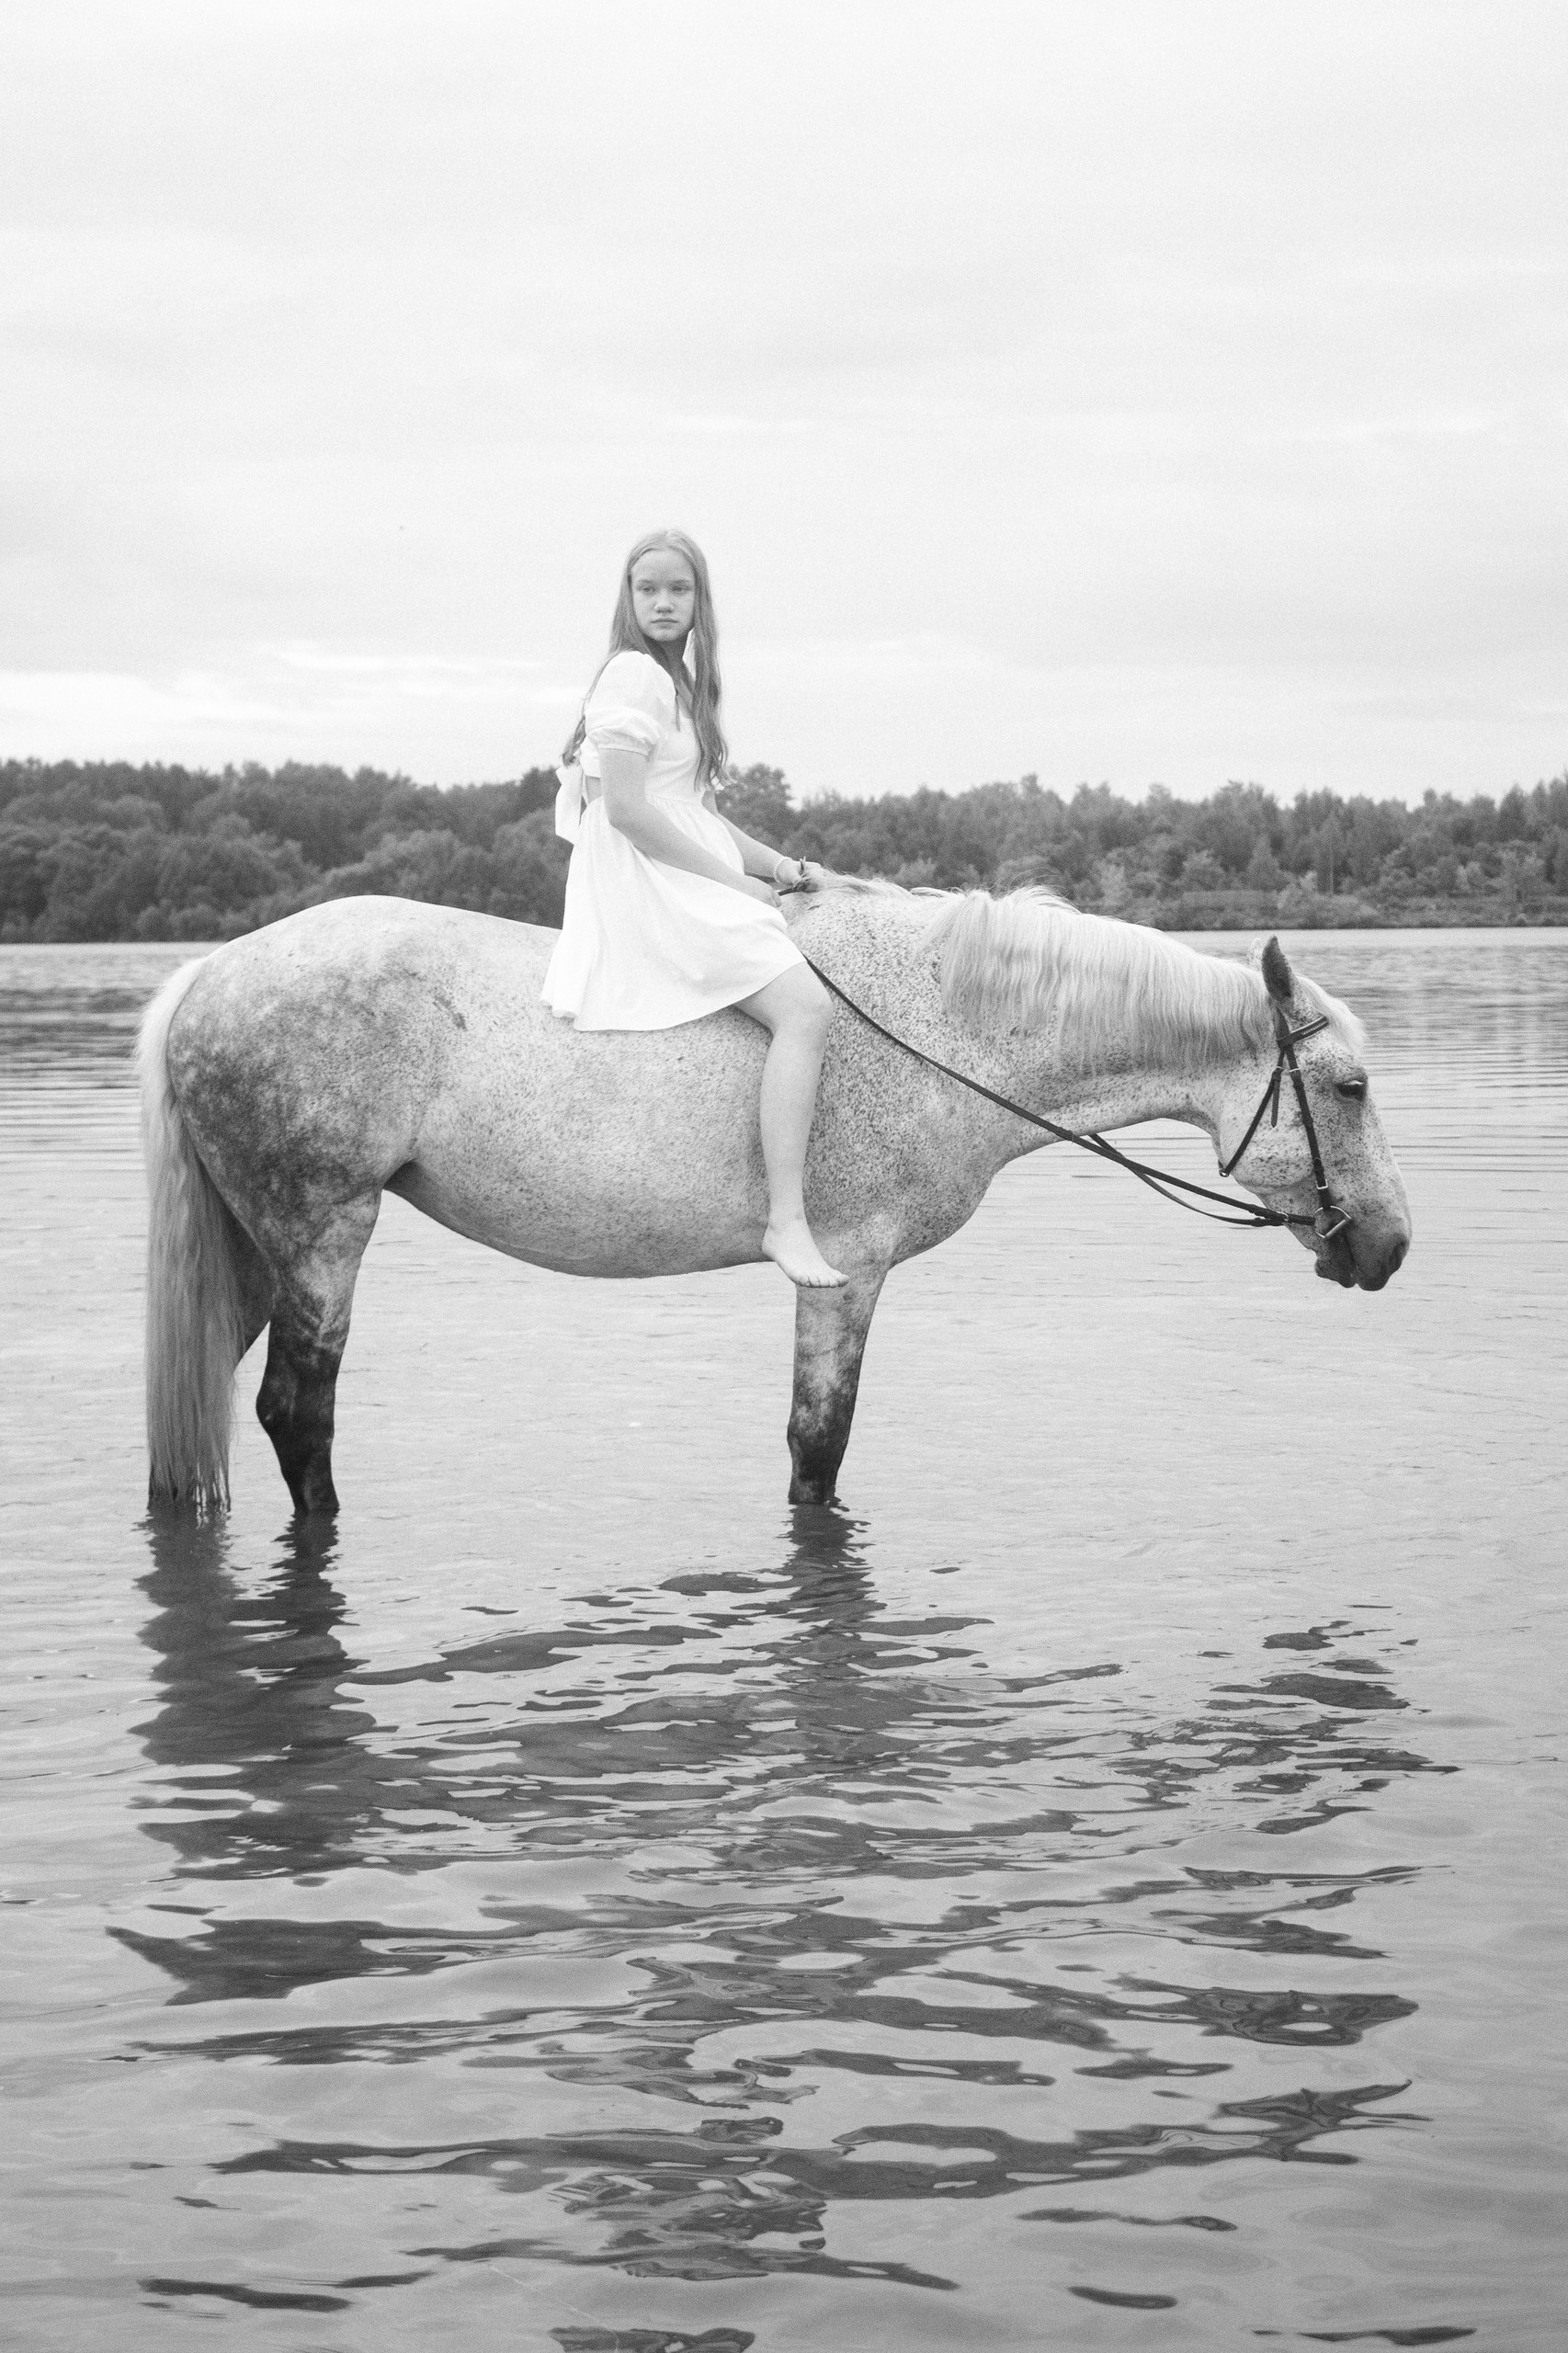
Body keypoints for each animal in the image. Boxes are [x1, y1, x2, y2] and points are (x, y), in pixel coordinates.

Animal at [138, 885, 1411, 1517]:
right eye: (1348, 1087)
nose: (1391, 1246)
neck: (939, 1025)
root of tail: (210, 971)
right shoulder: (845, 1272)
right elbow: (818, 1444)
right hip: (321, 1237)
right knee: (297, 1416)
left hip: (251, 1258)